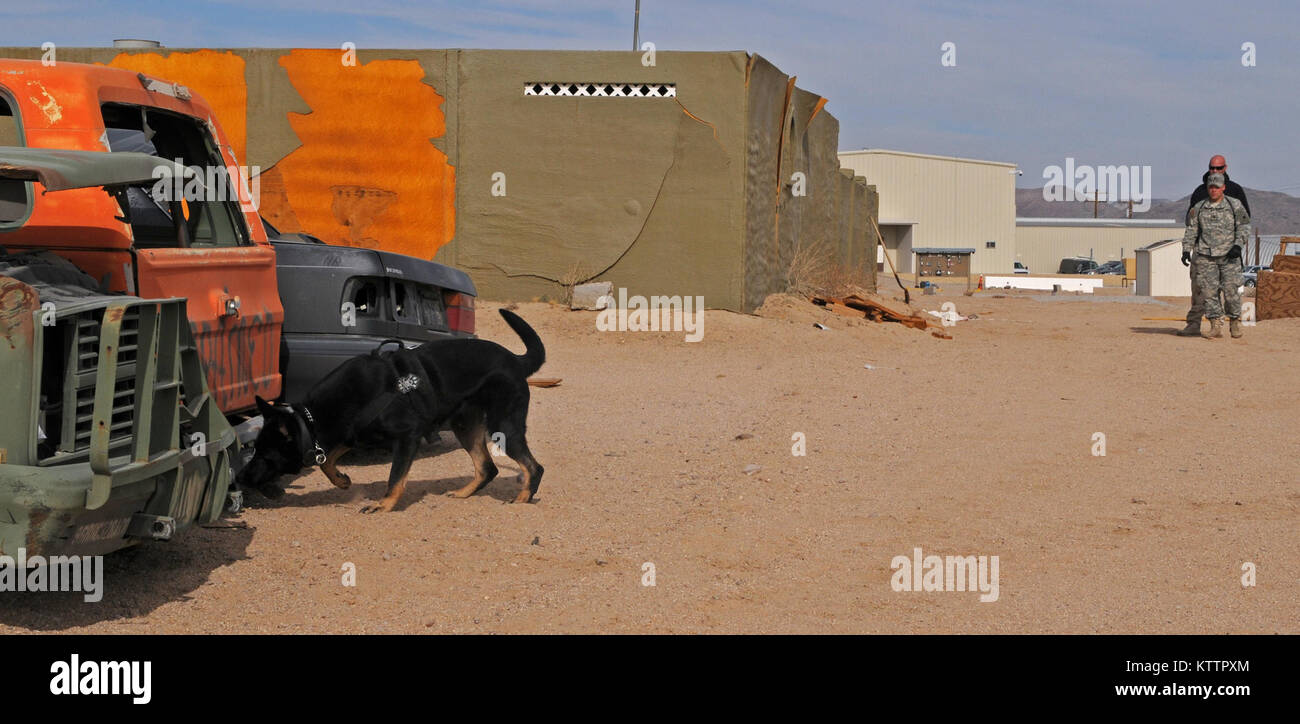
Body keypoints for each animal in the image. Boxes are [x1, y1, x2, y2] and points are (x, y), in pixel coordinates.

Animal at [236, 308, 546, 512]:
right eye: (254, 449)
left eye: (264, 454)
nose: (240, 478)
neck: (311, 419)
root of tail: (515, 360)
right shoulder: (352, 434)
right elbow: (327, 461)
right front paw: (342, 481)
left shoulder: (407, 437)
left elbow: (395, 476)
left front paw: (383, 505)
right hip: (466, 427)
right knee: (487, 468)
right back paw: (464, 493)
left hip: (503, 426)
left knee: (534, 466)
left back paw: (523, 498)